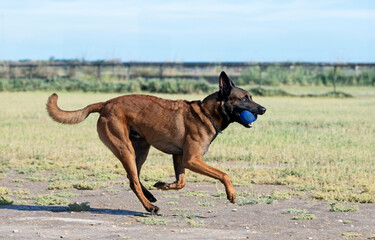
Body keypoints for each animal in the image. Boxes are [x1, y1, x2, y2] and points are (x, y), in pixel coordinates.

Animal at [47, 71, 266, 212]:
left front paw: (164, 185)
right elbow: (224, 174)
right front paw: (231, 193)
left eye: (251, 97)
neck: (207, 113)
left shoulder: (180, 158)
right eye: (245, 98)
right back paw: (150, 207)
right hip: (126, 149)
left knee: (133, 178)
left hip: (141, 149)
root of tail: (106, 104)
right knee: (134, 181)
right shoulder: (192, 160)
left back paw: (150, 196)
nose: (263, 109)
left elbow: (181, 183)